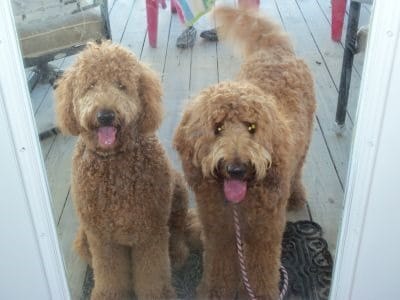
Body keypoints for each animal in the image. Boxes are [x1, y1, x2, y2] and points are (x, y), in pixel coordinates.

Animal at [55, 40, 193, 300]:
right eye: (90, 85)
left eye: (121, 85)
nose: (106, 115)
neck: (114, 164)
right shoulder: (102, 239)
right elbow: (110, 275)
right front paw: (108, 294)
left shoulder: (149, 233)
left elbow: (152, 275)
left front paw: (157, 294)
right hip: (86, 236)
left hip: (177, 190)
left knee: (179, 230)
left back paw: (178, 252)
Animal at [173, 7, 318, 300]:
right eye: (217, 127)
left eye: (252, 127)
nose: (236, 168)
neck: (239, 205)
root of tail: (275, 48)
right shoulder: (218, 232)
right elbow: (218, 265)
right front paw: (215, 291)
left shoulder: (265, 235)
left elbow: (261, 273)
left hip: (303, 146)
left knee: (297, 171)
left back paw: (296, 196)